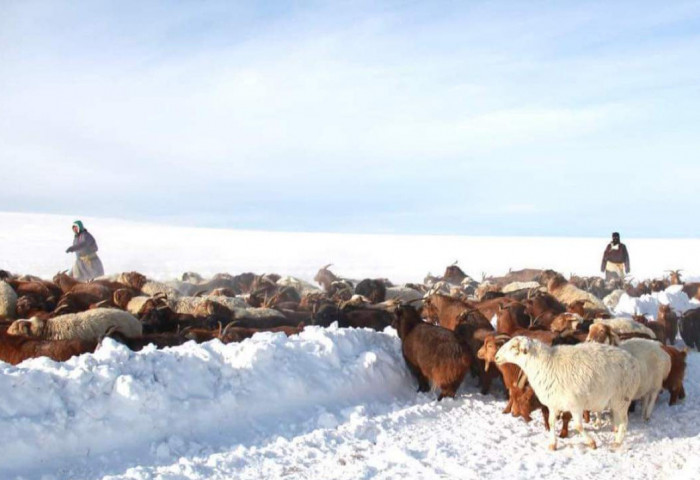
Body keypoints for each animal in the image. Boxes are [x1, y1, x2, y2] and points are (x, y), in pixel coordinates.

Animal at [492, 336, 640, 452]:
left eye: (513, 346)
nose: (496, 357)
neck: (545, 364)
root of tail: (632, 360)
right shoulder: (553, 404)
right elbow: (551, 422)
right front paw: (553, 444)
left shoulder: (575, 405)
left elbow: (578, 425)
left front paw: (591, 443)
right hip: (616, 401)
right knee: (618, 420)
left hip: (622, 398)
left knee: (624, 422)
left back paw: (617, 442)